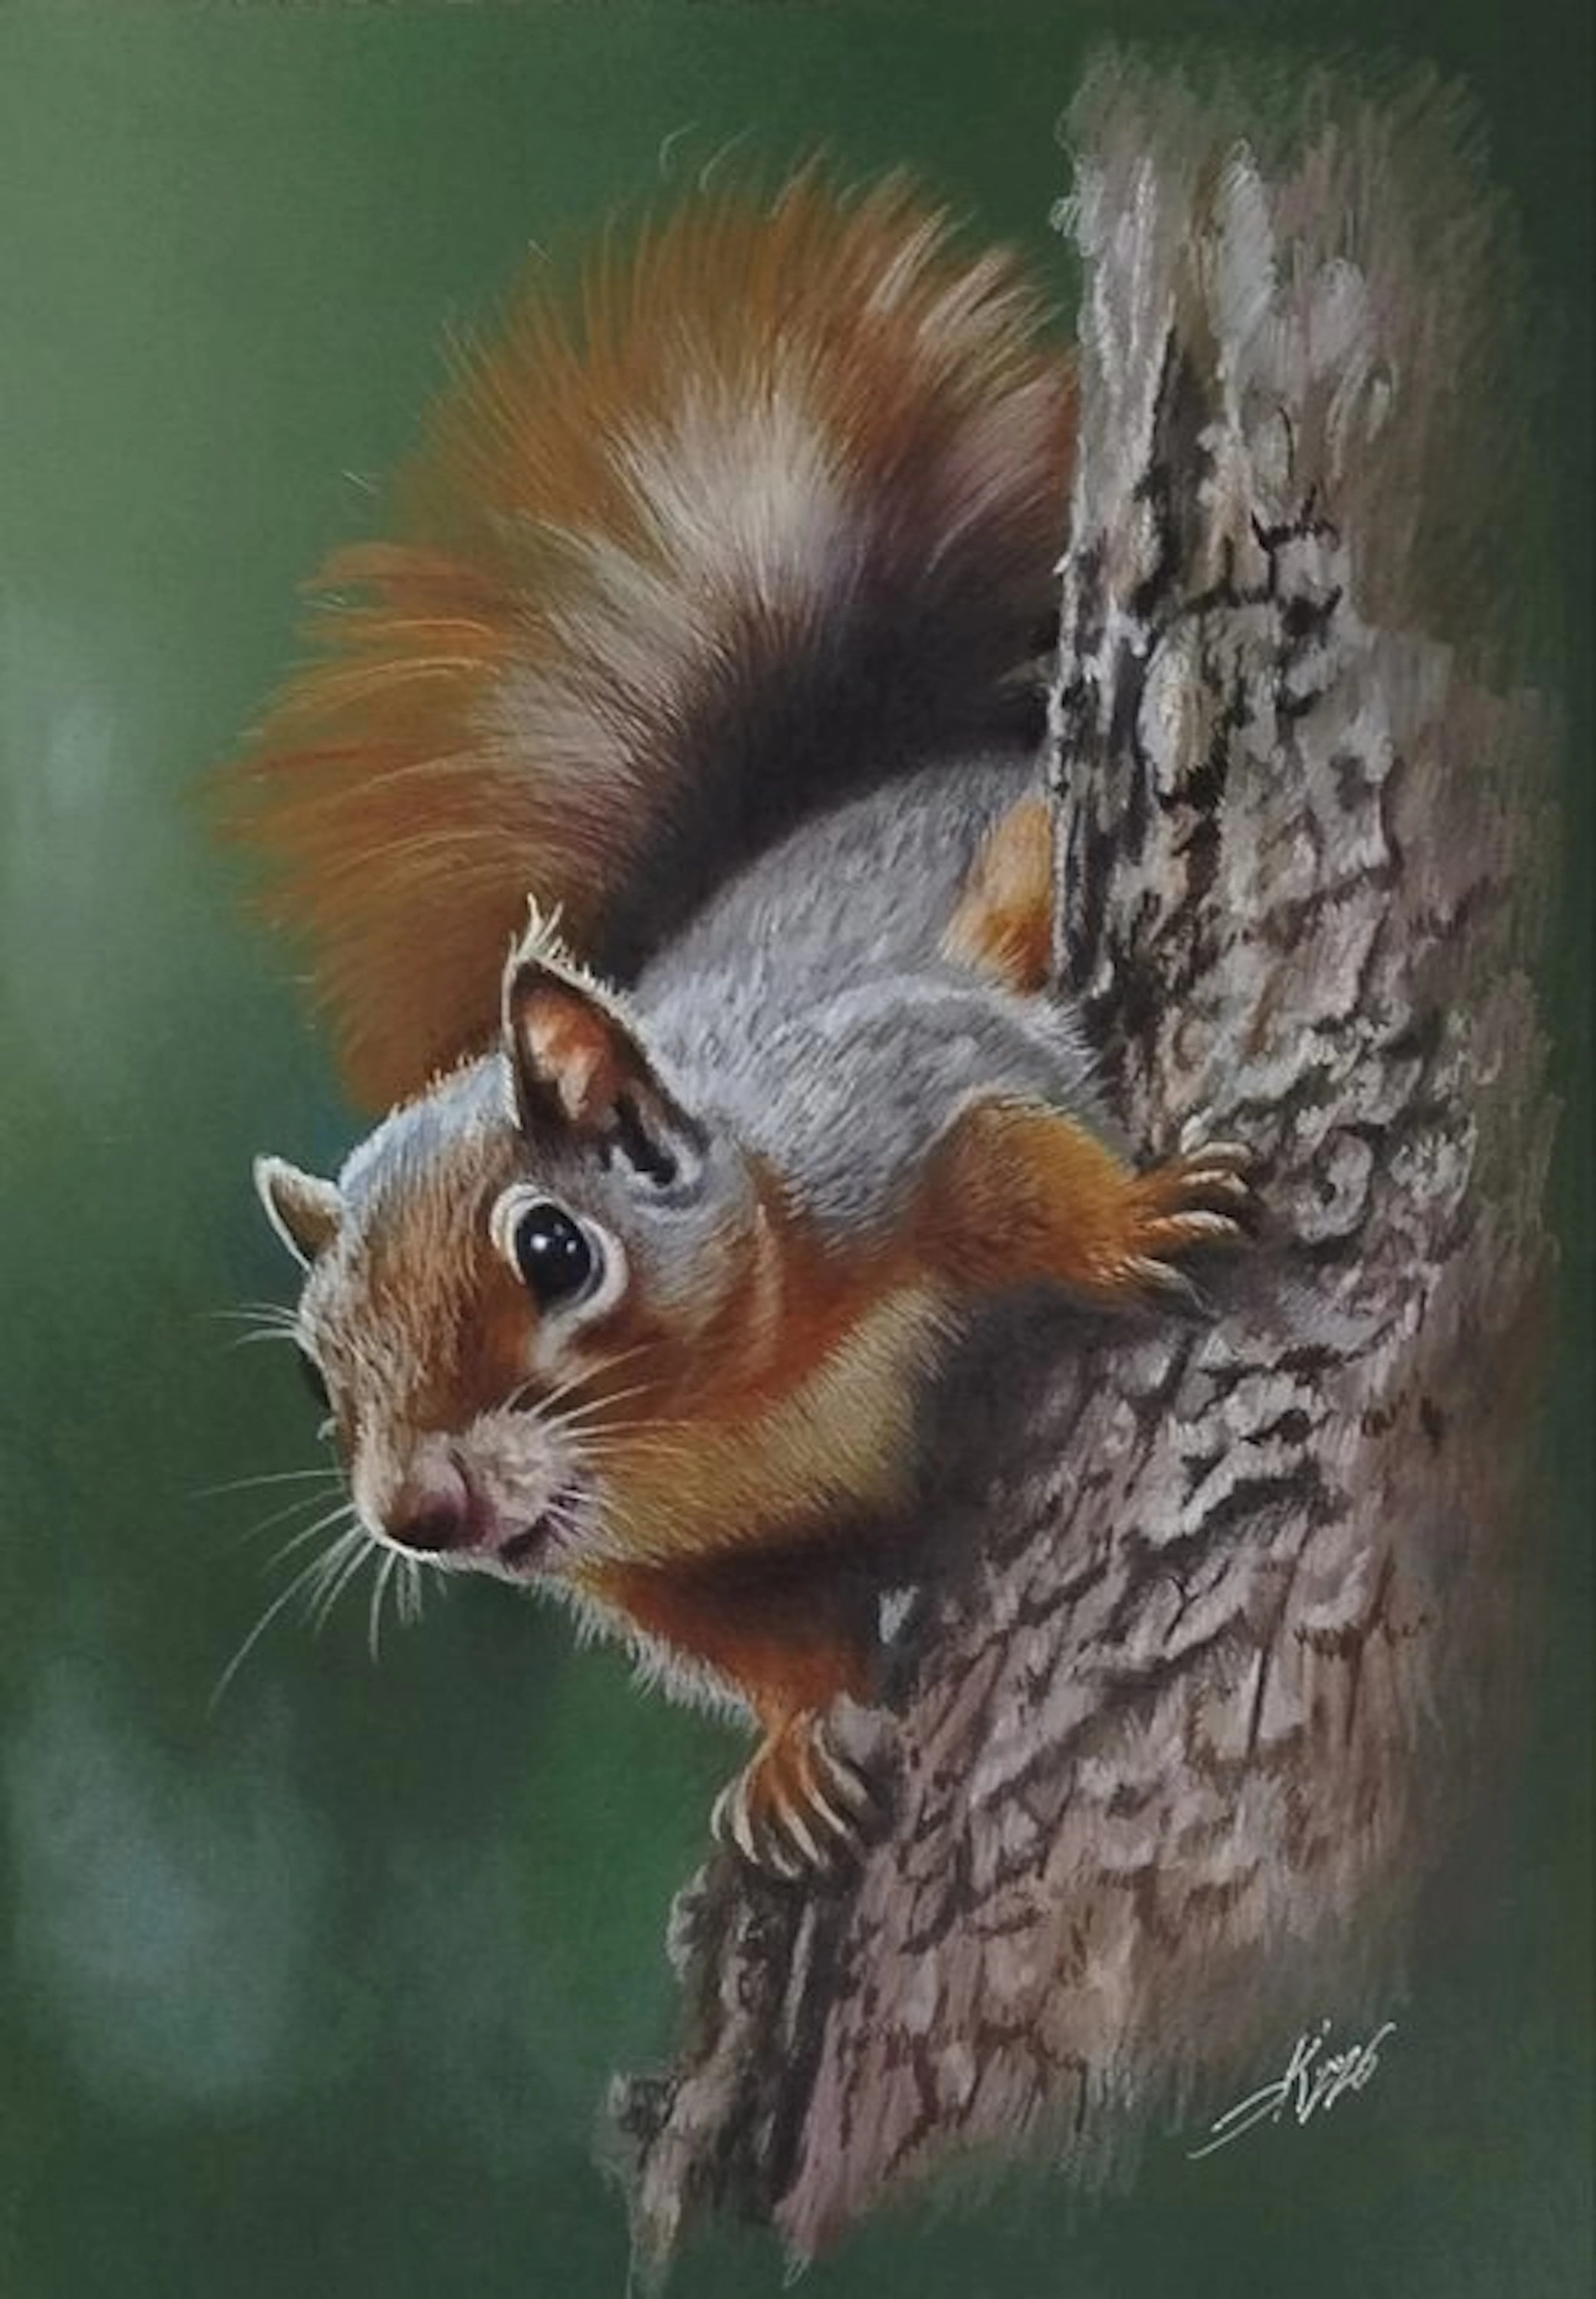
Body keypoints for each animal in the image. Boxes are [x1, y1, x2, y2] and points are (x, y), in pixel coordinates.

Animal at [223, 171, 1254, 1881]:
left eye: (555, 1250)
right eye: (315, 1373)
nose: (416, 1514)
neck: (715, 1419)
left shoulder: (886, 1106)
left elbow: (1004, 1148)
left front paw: (1126, 1222)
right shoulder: (652, 1559)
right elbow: (752, 1642)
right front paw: (792, 1748)